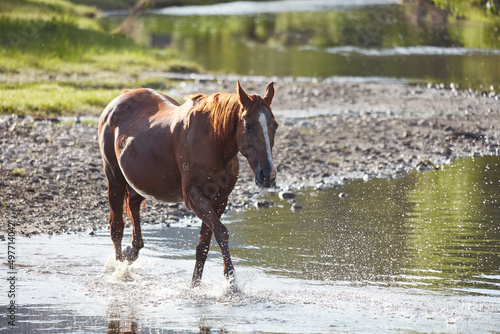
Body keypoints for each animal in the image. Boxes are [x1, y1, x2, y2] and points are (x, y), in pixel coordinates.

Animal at [97, 80, 278, 284]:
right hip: (114, 177)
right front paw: (231, 281)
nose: (268, 174)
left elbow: (203, 246)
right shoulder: (193, 197)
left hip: (142, 181)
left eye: (275, 125)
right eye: (248, 125)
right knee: (117, 227)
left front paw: (195, 285)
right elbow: (221, 232)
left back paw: (132, 251)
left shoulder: (219, 201)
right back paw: (120, 266)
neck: (212, 142)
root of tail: (119, 99)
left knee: (134, 204)